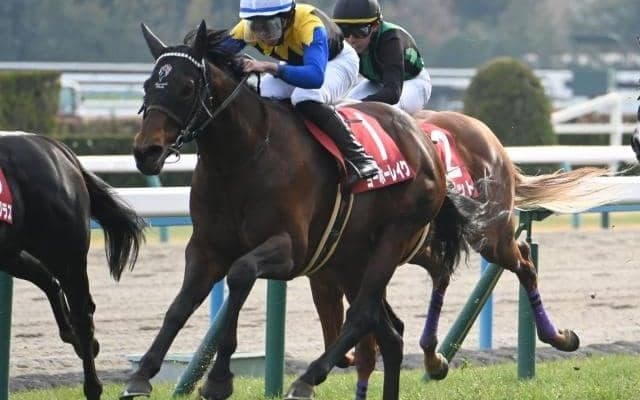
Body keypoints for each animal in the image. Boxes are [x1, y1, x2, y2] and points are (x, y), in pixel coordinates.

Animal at [0, 132, 146, 400]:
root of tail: (56, 147)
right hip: (11, 252)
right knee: (49, 281)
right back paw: (75, 338)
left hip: (66, 254)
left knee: (82, 314)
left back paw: (93, 386)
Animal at [120, 20, 471, 400]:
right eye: (148, 85)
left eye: (186, 88)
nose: (146, 151)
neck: (244, 156)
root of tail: (424, 142)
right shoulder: (206, 247)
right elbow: (179, 306)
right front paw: (142, 374)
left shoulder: (289, 248)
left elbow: (240, 274)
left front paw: (218, 379)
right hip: (351, 256)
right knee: (389, 335)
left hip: (394, 237)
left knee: (362, 314)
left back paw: (307, 378)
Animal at [310, 109, 625, 399]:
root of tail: (485, 132)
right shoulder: (328, 274)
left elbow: (366, 336)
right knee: (445, 271)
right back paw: (433, 359)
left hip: (489, 237)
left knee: (524, 263)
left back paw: (558, 337)